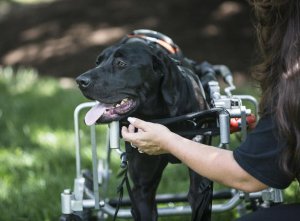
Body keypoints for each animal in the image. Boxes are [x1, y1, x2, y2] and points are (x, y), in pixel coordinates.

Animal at [76, 29, 212, 221]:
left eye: (121, 63)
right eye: (98, 62)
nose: (80, 81)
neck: (161, 116)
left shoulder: (201, 188)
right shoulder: (142, 190)